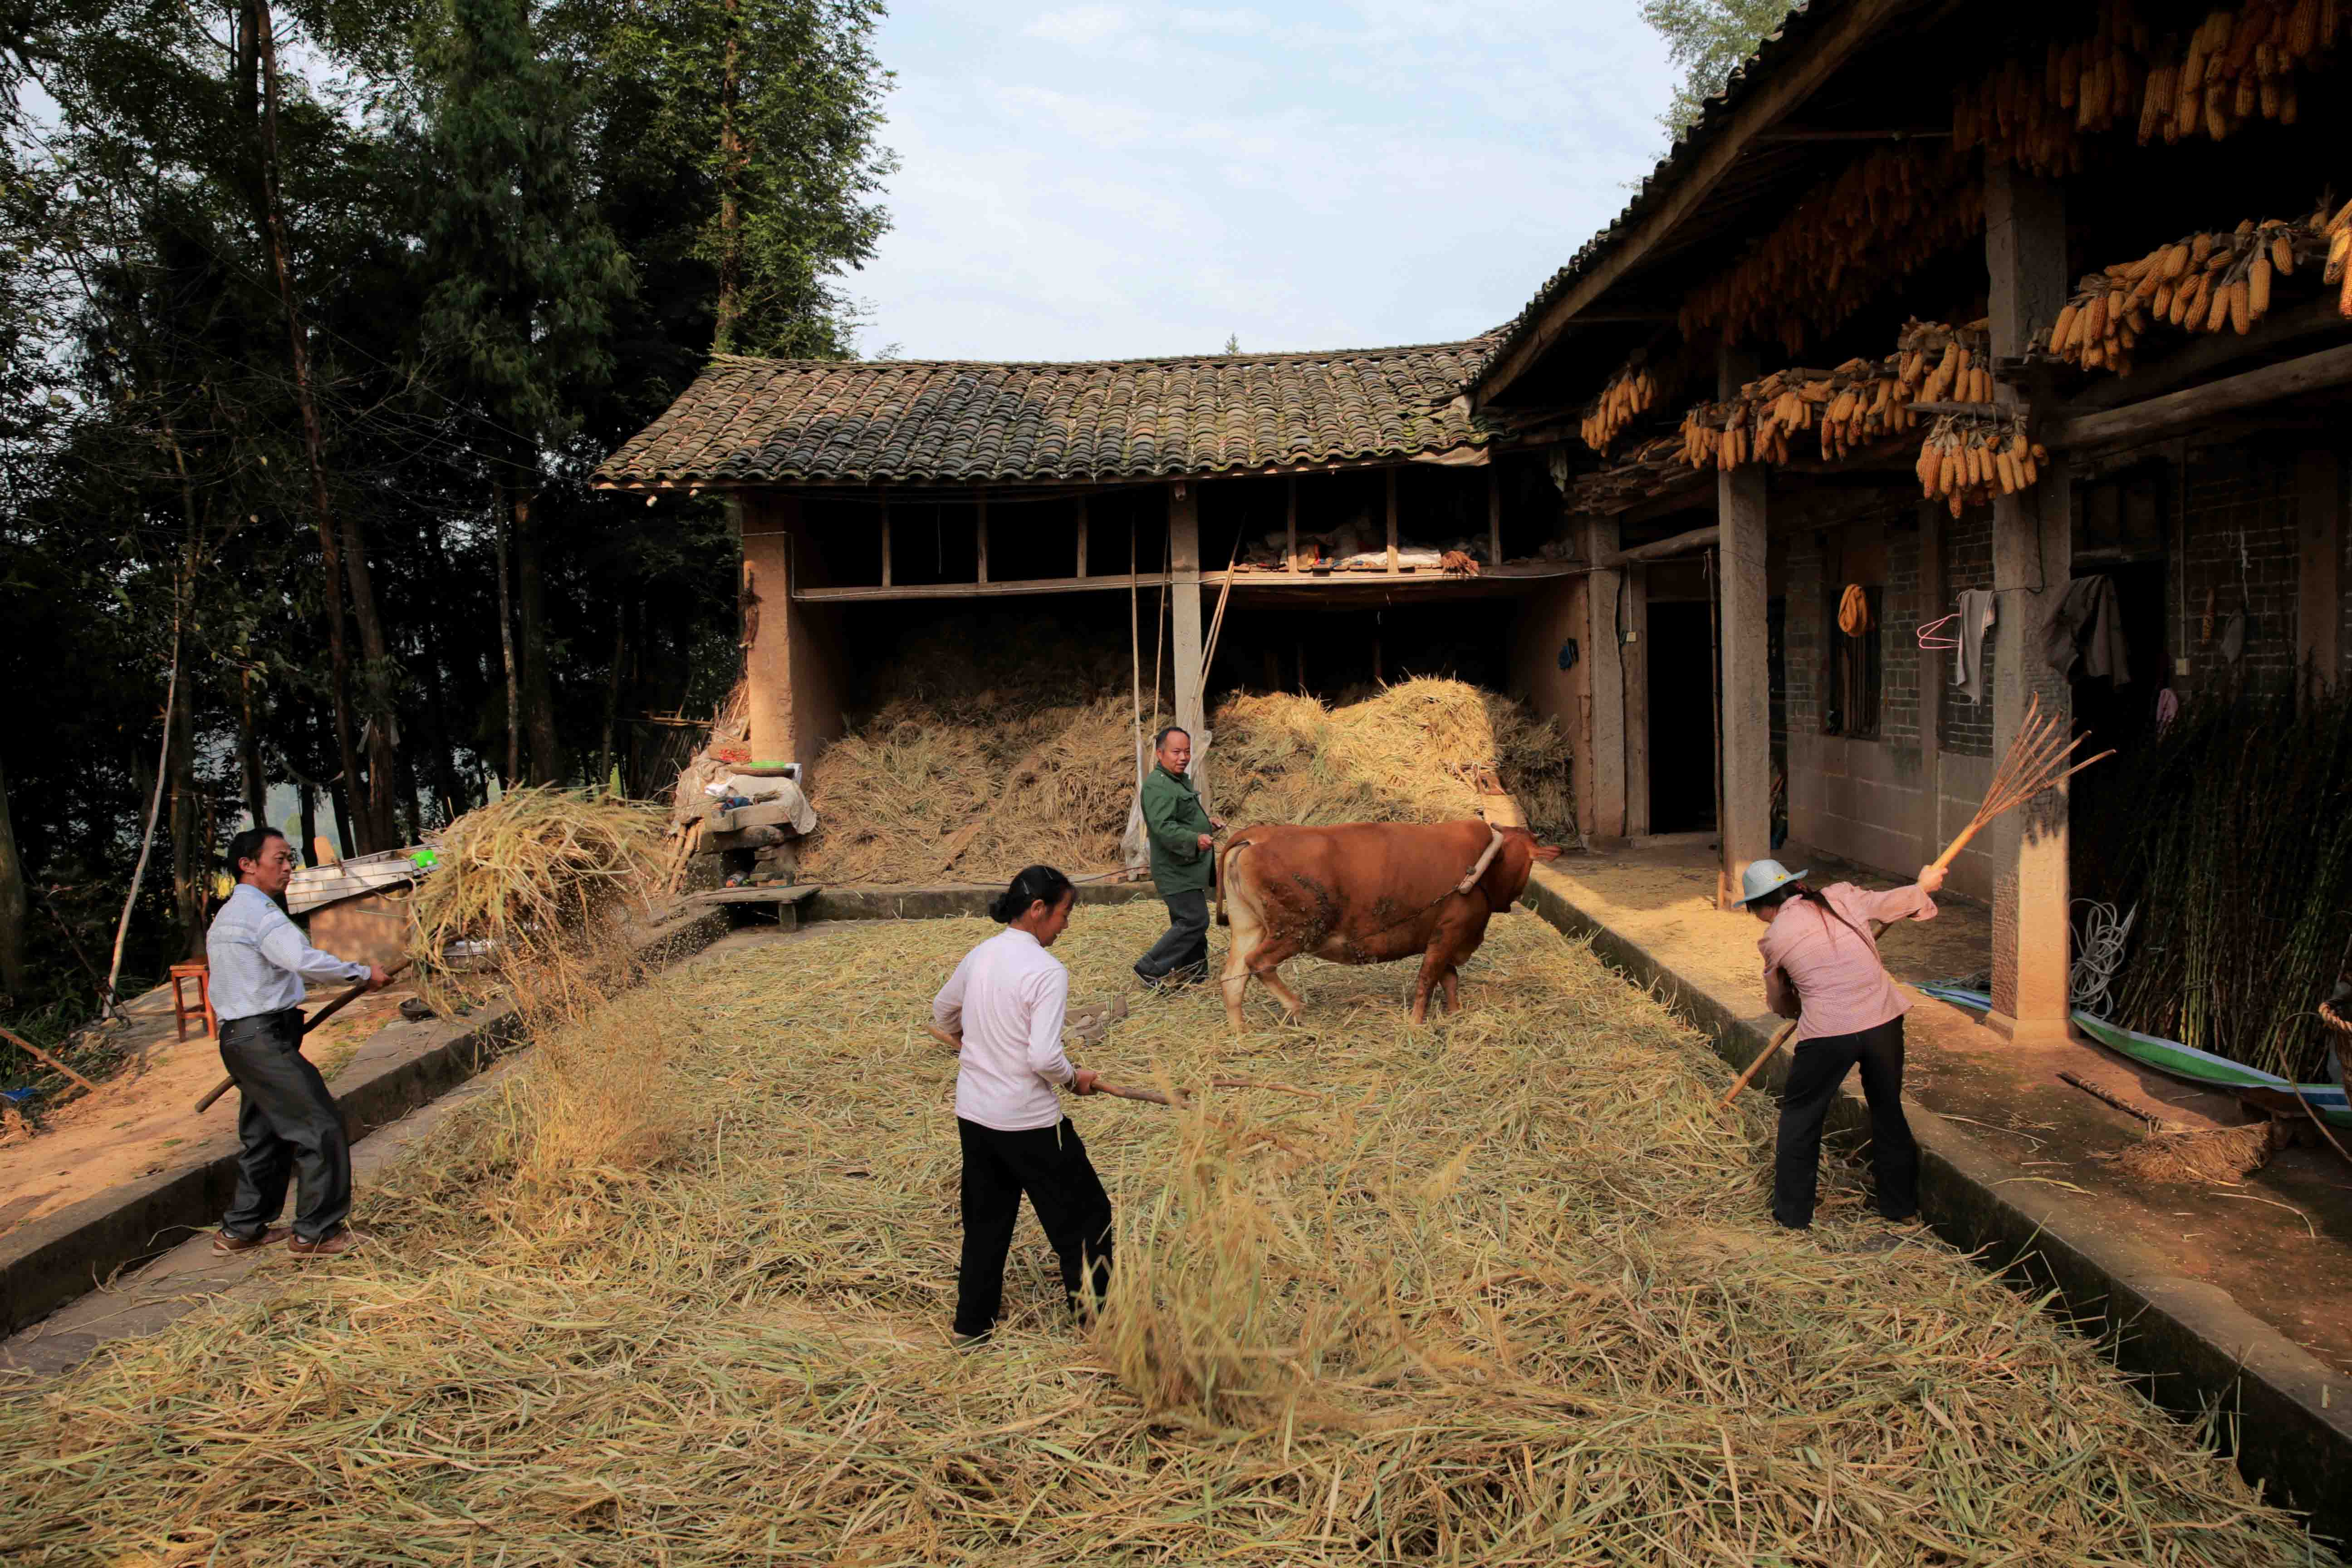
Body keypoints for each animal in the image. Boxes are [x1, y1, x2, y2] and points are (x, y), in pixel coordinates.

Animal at [1213, 823, 1562, 1029]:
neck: (1487, 862)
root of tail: (1258, 834)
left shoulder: (1443, 936)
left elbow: (1449, 979)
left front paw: (1455, 1013)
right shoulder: (1449, 932)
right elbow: (1428, 979)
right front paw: (1417, 1023)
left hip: (1250, 926)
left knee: (1233, 977)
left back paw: (1239, 1032)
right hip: (1296, 931)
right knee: (1258, 963)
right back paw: (1295, 1007)